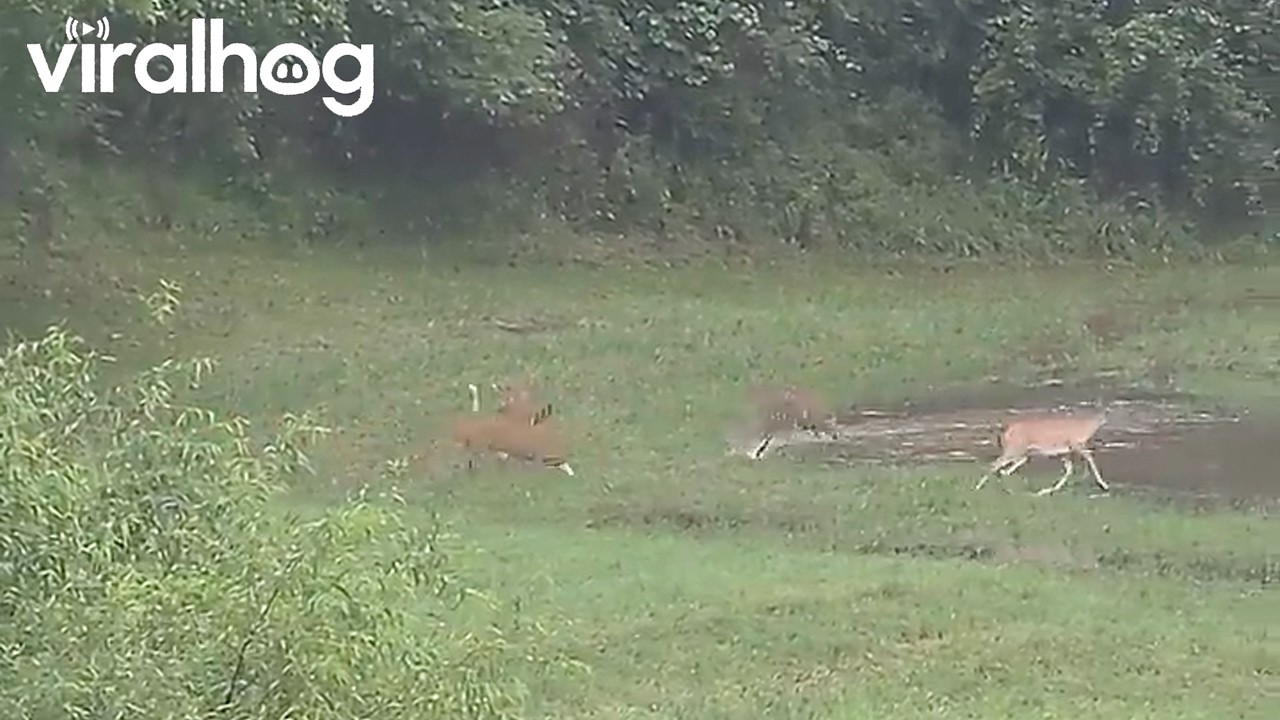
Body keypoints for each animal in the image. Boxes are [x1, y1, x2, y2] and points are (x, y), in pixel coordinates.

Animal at [974, 409, 1109, 496]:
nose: (1105, 419)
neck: (1085, 429)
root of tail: (1005, 432)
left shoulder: (1065, 452)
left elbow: (1069, 470)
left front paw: (1049, 490)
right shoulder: (1076, 445)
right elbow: (1090, 458)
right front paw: (1104, 485)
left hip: (1020, 451)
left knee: (1008, 466)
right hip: (1014, 449)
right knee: (995, 464)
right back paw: (979, 487)